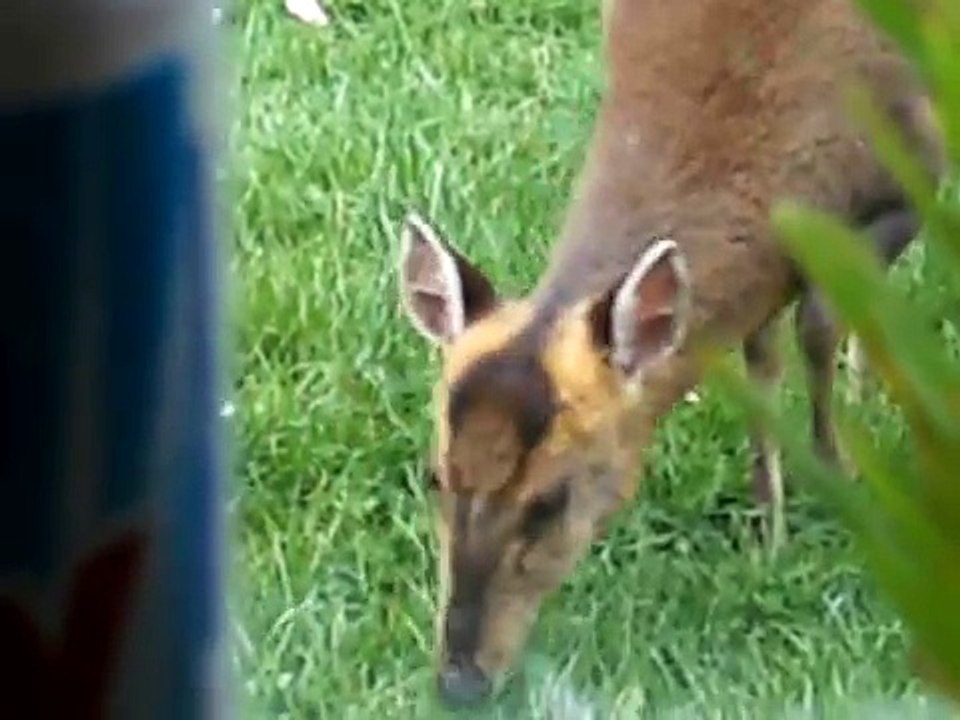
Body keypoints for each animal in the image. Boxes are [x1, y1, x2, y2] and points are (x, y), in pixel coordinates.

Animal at [396, 0, 945, 708]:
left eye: (552, 499)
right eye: (436, 475)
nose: (459, 682)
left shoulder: (913, 169)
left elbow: (821, 323)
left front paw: (840, 479)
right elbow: (762, 359)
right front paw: (770, 530)